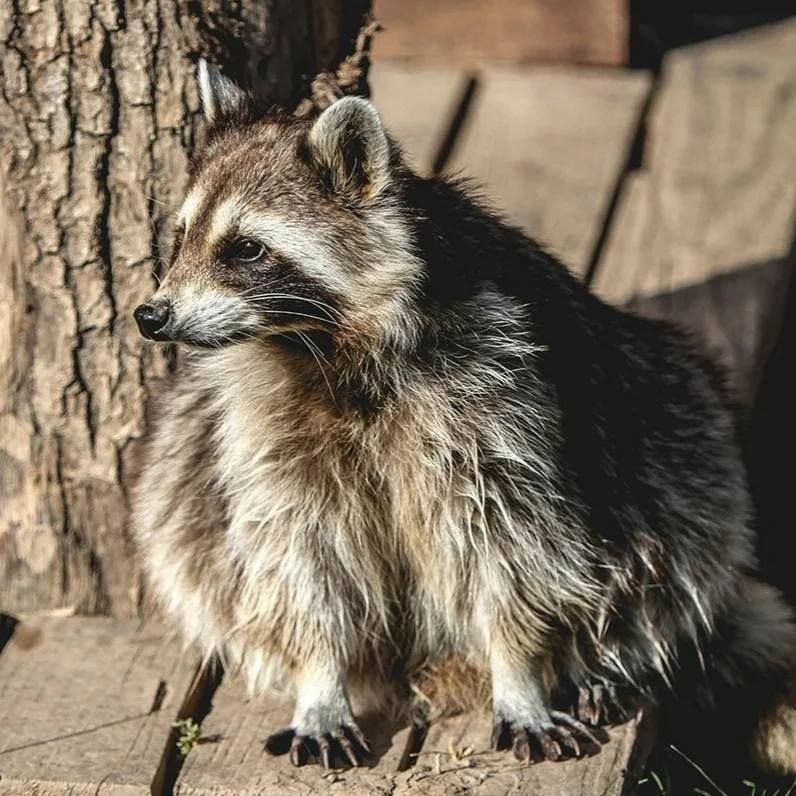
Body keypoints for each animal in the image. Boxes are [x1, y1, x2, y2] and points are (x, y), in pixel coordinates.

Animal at [131, 61, 796, 773]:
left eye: (247, 249)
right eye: (180, 238)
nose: (152, 315)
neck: (322, 343)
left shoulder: (493, 388)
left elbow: (509, 540)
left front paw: (520, 668)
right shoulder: (262, 423)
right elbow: (299, 552)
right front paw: (319, 675)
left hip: (672, 408)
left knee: (680, 520)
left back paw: (603, 656)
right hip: (184, 462)